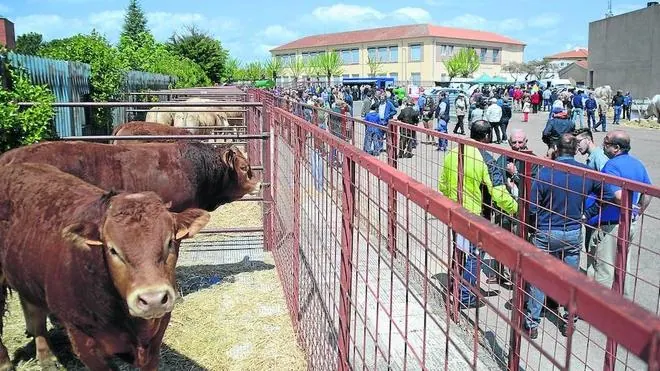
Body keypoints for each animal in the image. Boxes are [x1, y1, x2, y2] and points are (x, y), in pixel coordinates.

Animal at [0, 163, 210, 371]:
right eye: (113, 250)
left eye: (170, 242)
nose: (153, 300)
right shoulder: (82, 340)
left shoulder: (156, 338)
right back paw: (6, 363)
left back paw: (47, 358)